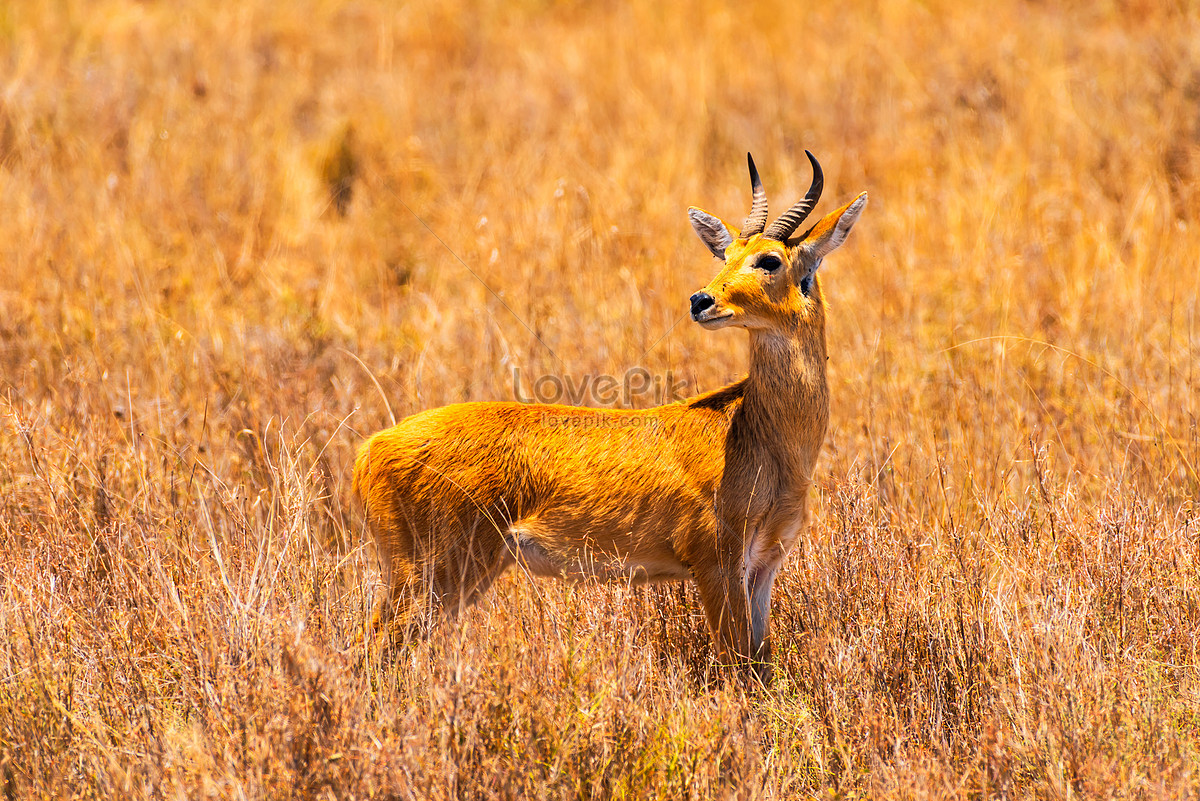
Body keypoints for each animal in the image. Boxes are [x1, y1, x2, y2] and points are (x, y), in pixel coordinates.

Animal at [350, 153, 868, 685]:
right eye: (724, 256)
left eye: (769, 259)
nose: (701, 300)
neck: (756, 432)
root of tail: (372, 446)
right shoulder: (717, 563)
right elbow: (739, 665)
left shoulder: (764, 564)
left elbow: (759, 661)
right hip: (432, 573)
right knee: (371, 648)